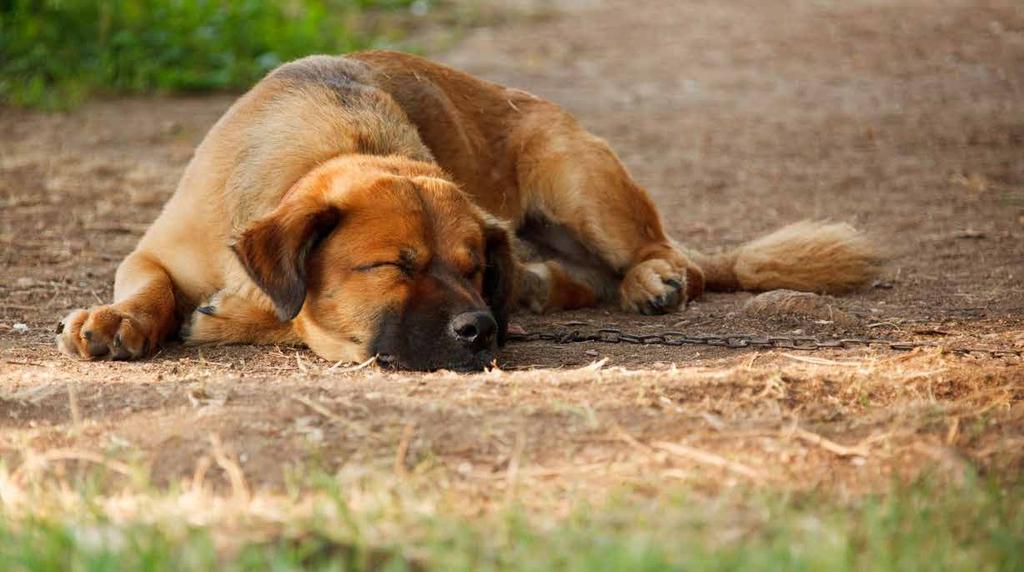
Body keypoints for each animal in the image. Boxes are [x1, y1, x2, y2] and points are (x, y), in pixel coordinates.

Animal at [54, 50, 880, 372]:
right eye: (394, 266)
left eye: (472, 269)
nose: (482, 329)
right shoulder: (153, 250)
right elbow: (150, 286)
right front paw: (119, 319)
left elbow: (275, 313)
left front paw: (234, 315)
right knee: (580, 279)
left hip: (575, 177)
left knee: (675, 256)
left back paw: (653, 279)